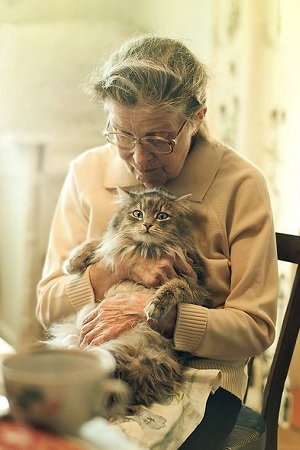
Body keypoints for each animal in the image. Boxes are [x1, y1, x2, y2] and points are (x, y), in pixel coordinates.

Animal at [47, 187, 211, 418]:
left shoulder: (196, 287)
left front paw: (155, 306)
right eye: (137, 213)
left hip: (119, 355)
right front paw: (73, 262)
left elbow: (174, 287)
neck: (144, 249)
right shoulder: (116, 244)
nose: (147, 224)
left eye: (162, 216)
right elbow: (99, 243)